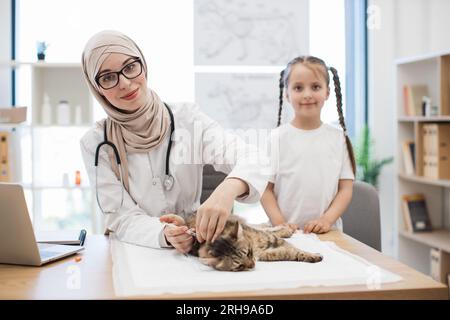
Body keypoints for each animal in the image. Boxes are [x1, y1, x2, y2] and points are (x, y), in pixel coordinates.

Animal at [162, 214, 324, 272]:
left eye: (248, 253)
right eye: (239, 266)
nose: (252, 265)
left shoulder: (270, 239)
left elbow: (295, 250)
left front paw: (312, 255)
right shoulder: (266, 254)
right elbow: (286, 253)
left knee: (266, 227)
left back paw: (286, 229)